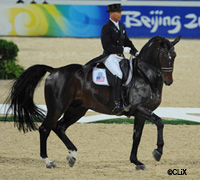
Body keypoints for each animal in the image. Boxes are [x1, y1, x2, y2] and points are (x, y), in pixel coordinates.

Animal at [5, 35, 181, 170]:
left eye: (174, 56)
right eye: (163, 56)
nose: (169, 81)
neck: (144, 76)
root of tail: (54, 70)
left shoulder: (141, 113)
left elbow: (137, 136)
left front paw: (136, 162)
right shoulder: (139, 109)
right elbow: (160, 122)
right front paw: (157, 152)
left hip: (77, 109)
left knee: (59, 127)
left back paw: (72, 156)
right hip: (57, 107)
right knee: (44, 129)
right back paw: (49, 162)